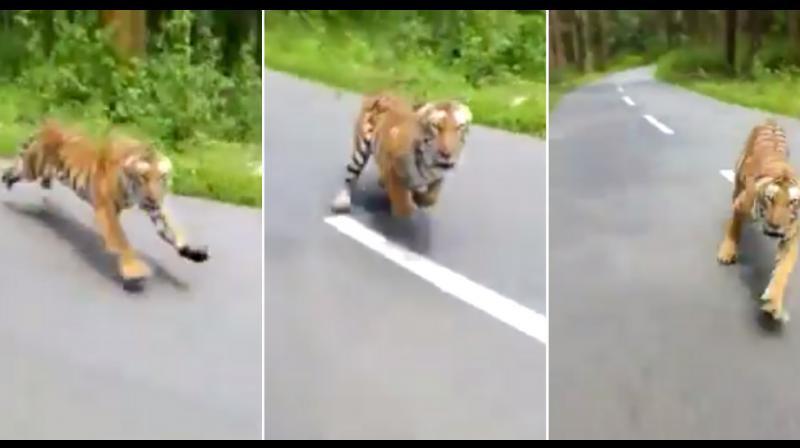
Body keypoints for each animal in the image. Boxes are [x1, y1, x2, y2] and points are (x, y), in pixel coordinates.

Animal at [0, 120, 211, 288]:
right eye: (143, 177)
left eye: (162, 177)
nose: (153, 198)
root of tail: (47, 124)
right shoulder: (107, 208)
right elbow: (122, 241)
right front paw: (134, 271)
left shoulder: (157, 209)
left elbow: (174, 230)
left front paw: (193, 252)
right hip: (30, 168)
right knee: (11, 171)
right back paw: (8, 185)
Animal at [328, 91, 472, 215]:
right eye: (436, 126)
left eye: (460, 127)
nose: (447, 154)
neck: (428, 162)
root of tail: (383, 92)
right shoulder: (393, 167)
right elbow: (404, 205)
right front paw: (409, 201)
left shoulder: (438, 177)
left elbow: (431, 197)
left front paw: (420, 198)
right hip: (360, 150)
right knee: (351, 176)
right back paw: (342, 202)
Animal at [716, 118, 796, 322]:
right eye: (770, 199)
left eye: (792, 202)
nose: (775, 226)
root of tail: (771, 119)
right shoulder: (740, 205)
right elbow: (734, 230)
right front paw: (726, 253)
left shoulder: (791, 237)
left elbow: (783, 271)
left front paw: (773, 305)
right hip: (738, 179)